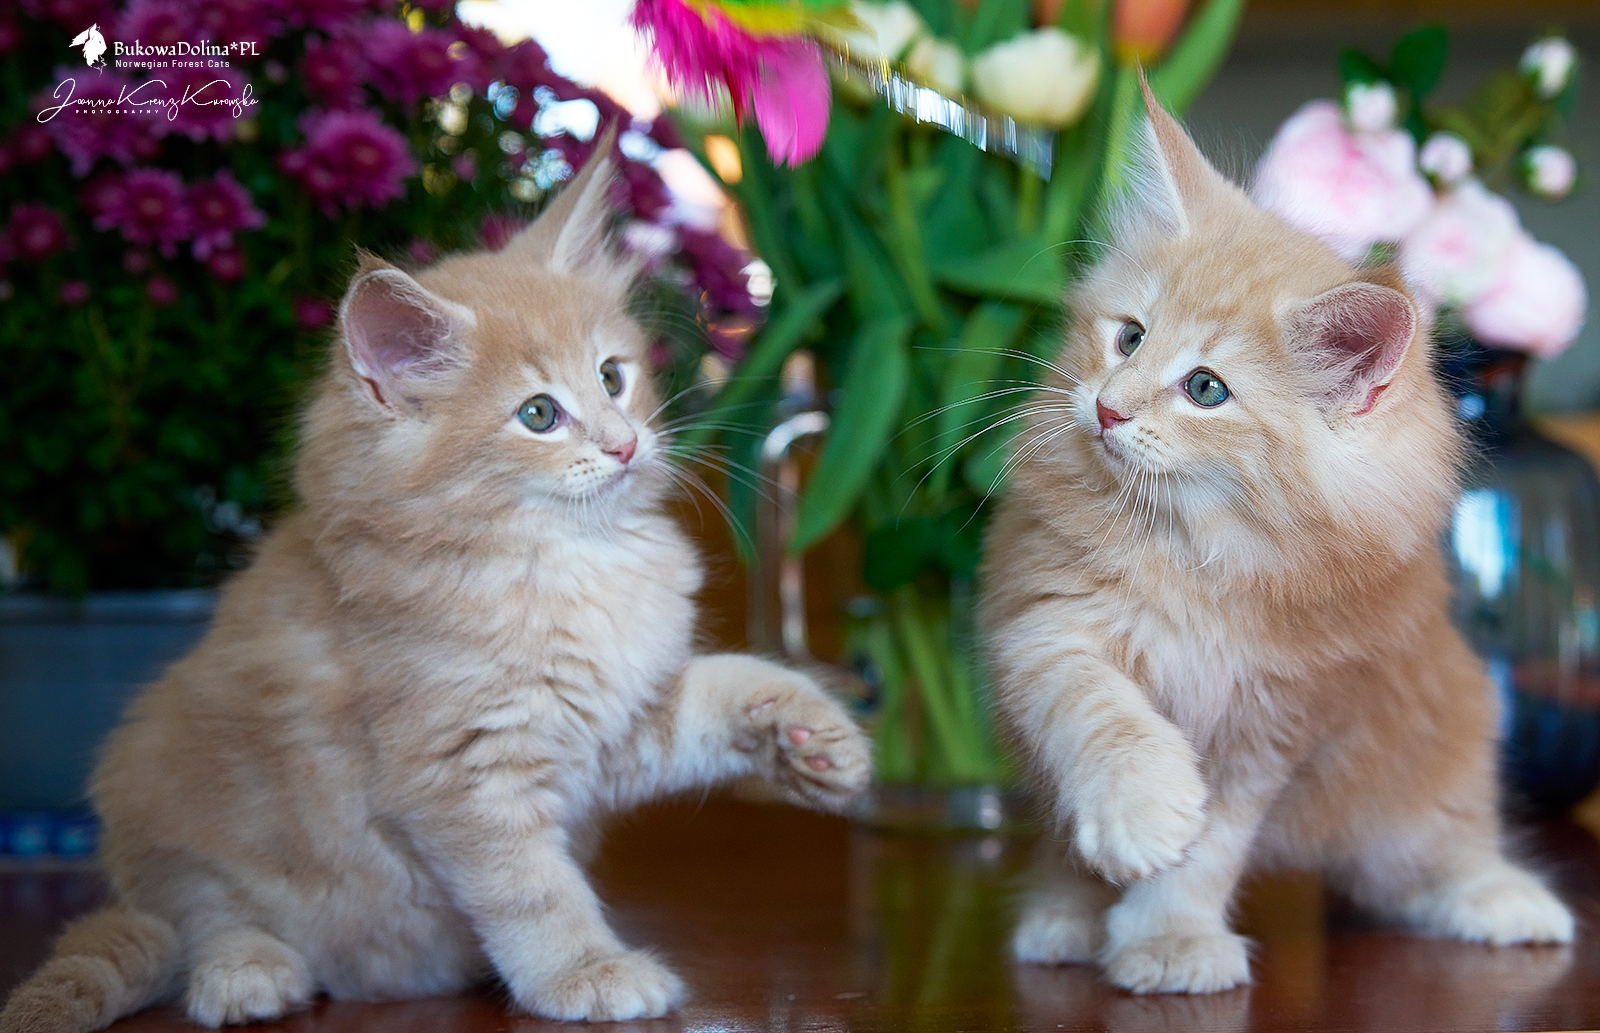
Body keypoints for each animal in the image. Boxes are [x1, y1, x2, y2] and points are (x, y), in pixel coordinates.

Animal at [0, 143, 870, 1032]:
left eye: (612, 377)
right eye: (538, 414)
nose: (626, 444)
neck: (568, 560)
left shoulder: (615, 724)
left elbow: (726, 684)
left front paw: (811, 733)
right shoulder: (462, 772)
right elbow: (534, 893)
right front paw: (586, 971)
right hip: (169, 809)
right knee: (200, 919)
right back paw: (249, 971)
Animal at [978, 80, 1574, 996]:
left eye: (1205, 389)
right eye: (1129, 336)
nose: (1108, 408)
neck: (1201, 549)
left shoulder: (1278, 721)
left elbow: (1209, 849)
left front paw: (1170, 938)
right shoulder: (1045, 620)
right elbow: (1100, 710)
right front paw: (1141, 809)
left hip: (1426, 770)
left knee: (1433, 858)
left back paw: (1506, 899)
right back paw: (1065, 916)